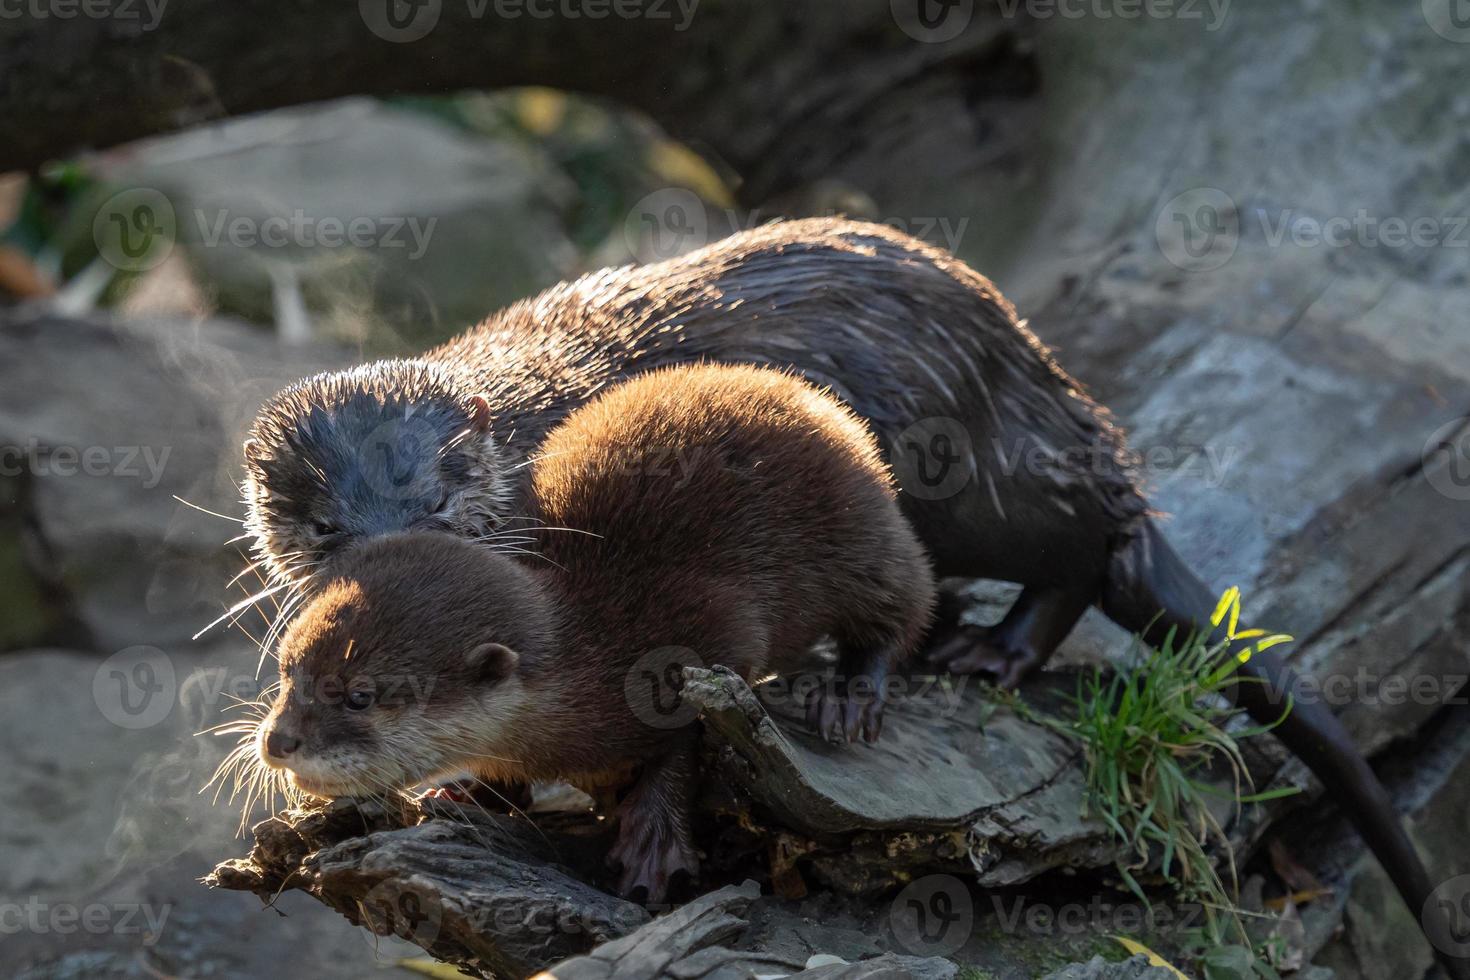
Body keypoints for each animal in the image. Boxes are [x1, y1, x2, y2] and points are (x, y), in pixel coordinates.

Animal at [254, 364, 934, 899]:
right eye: (289, 670)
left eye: (360, 695)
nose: (278, 742)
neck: (594, 653)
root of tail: (811, 398)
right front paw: (474, 791)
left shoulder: (708, 633)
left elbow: (686, 737)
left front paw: (653, 841)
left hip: (857, 529)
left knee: (906, 599)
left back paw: (848, 700)